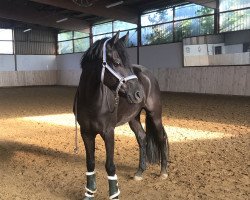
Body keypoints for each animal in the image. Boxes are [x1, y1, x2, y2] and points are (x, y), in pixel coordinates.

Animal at [73, 32, 169, 199]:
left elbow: (110, 166)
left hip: (155, 115)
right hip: (133, 118)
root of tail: (147, 74)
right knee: (142, 138)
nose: (138, 94)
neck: (93, 101)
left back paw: (163, 172)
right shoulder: (86, 133)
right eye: (117, 63)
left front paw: (114, 194)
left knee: (161, 137)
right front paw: (89, 193)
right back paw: (139, 172)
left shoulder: (108, 133)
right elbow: (90, 163)